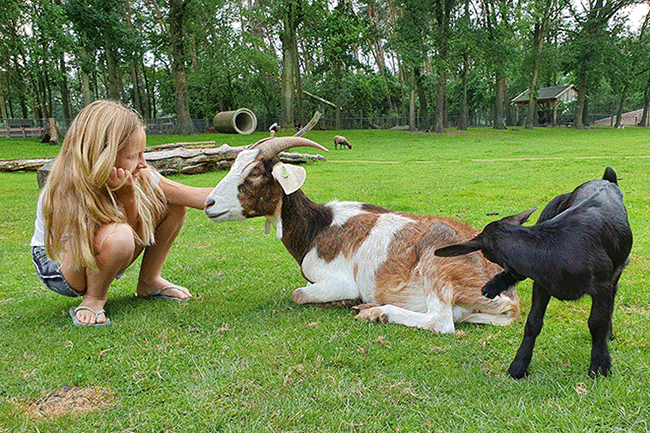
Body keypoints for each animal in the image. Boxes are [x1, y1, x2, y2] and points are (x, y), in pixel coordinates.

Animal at [205, 137, 520, 332]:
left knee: (441, 321)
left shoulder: (339, 281)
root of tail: (511, 300)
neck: (319, 227)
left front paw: (347, 302)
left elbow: (298, 294)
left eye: (255, 172)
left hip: (437, 261)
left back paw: (377, 312)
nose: (209, 203)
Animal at [432, 167, 632, 376]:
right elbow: (533, 322)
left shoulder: (601, 285)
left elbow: (597, 323)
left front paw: (600, 365)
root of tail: (606, 180)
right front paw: (519, 365)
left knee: (613, 297)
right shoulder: (542, 283)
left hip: (616, 270)